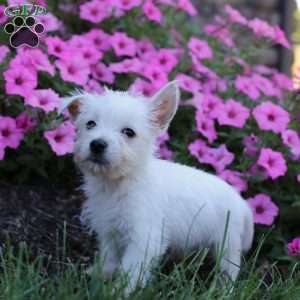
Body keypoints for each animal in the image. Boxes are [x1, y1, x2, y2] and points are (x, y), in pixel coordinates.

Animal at [62, 81, 254, 292]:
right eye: (90, 124)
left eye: (129, 132)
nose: (97, 144)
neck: (119, 182)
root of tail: (242, 203)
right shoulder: (109, 229)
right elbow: (109, 255)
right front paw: (101, 274)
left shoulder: (143, 238)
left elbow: (130, 271)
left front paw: (119, 291)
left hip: (228, 241)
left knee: (230, 269)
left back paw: (223, 289)